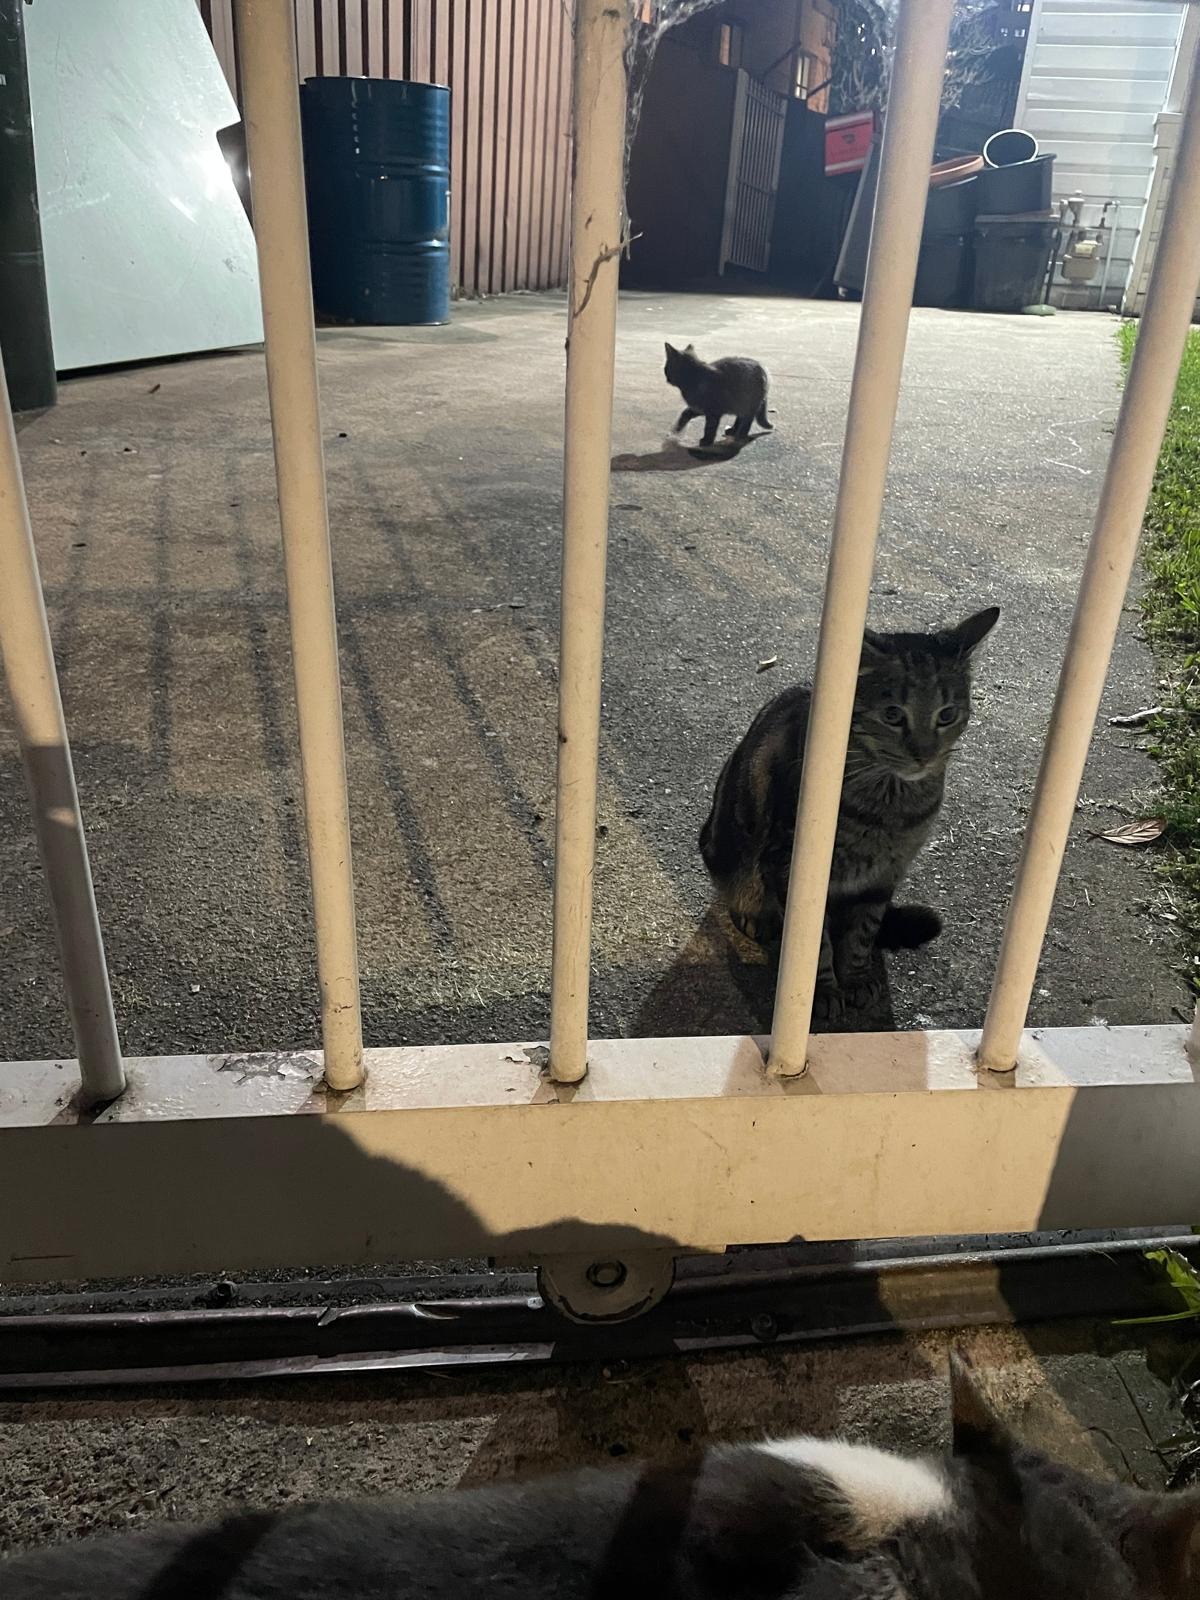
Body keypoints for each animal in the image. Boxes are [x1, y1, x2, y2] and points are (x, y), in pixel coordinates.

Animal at [699, 607, 999, 1021]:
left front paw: (855, 977)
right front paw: (823, 990)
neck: (887, 805)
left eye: (946, 715)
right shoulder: (791, 866)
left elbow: (863, 932)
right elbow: (814, 942)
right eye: (893, 715)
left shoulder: (883, 876)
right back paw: (756, 917)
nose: (923, 755)